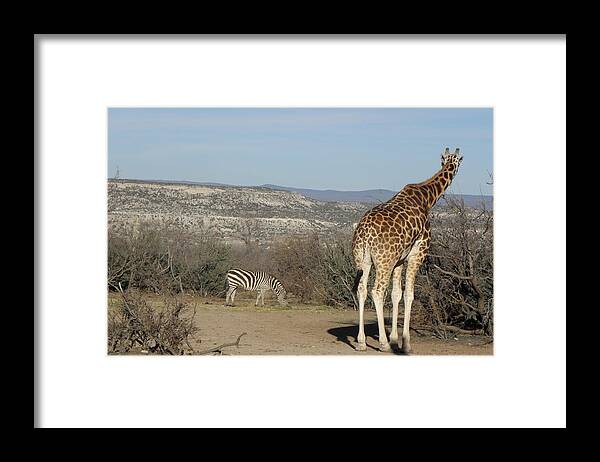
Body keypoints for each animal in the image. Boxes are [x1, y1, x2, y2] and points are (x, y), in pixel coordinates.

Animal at [352, 148, 464, 354]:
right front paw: (405, 343)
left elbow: (396, 293)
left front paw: (395, 339)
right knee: (377, 291)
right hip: (384, 262)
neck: (427, 198)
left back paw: (362, 342)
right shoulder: (417, 254)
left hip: (363, 260)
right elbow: (409, 294)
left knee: (362, 289)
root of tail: (364, 234)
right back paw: (383, 344)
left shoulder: (399, 260)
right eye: (458, 161)